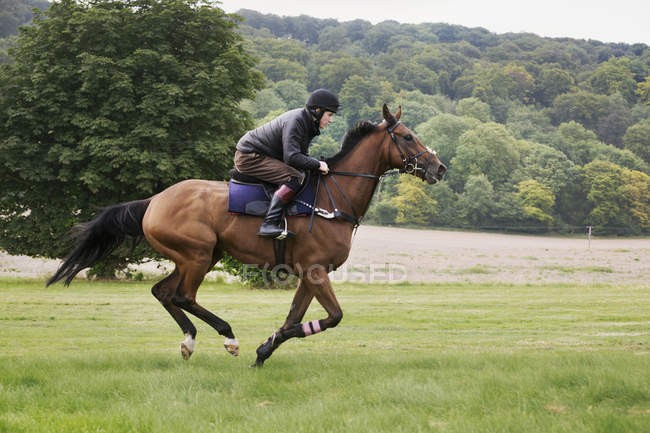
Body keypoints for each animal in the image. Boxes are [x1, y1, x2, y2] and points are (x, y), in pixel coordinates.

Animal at [46, 104, 446, 364]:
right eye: (407, 137)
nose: (439, 168)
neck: (334, 198)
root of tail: (154, 200)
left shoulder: (310, 273)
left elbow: (294, 317)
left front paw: (265, 349)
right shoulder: (316, 271)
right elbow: (332, 317)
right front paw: (260, 346)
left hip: (201, 256)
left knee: (163, 292)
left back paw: (189, 342)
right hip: (198, 254)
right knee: (183, 296)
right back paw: (228, 337)